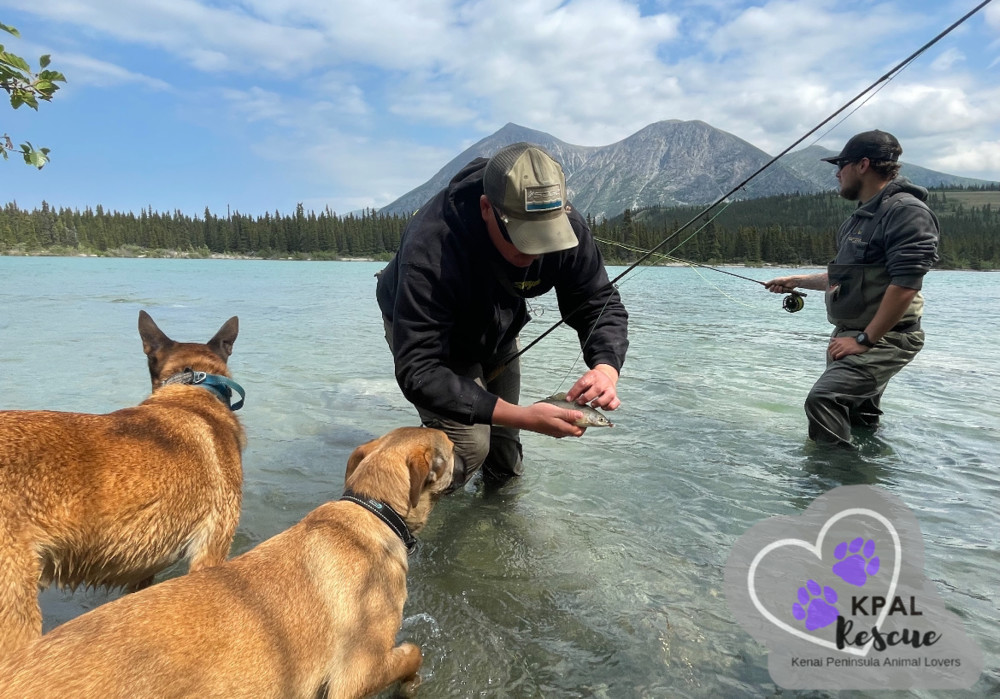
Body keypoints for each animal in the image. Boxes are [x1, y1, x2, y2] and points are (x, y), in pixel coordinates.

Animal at [0, 426, 458, 699]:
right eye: (452, 448)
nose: (463, 446)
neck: (372, 510)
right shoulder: (354, 676)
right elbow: (413, 652)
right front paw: (412, 683)